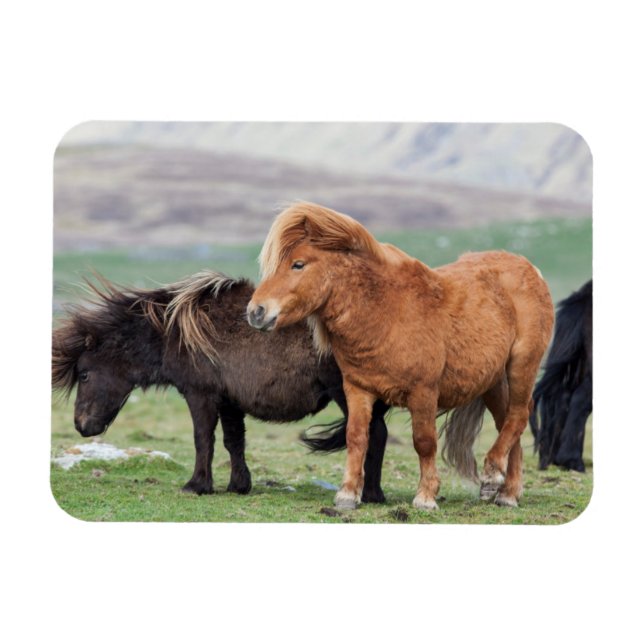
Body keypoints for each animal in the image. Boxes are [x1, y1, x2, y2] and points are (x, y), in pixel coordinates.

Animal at [52, 271, 390, 502]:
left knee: (373, 434)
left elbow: (203, 439)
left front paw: (196, 485)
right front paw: (238, 485)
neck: (175, 332)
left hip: (347, 394)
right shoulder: (230, 401)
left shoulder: (200, 394)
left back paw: (369, 495)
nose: (81, 425)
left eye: (84, 374)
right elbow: (233, 441)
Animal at [247, 202, 554, 510]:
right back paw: (507, 492)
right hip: (491, 380)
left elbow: (424, 442)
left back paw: (493, 475)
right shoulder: (357, 389)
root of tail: (530, 269)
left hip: (522, 365)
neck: (386, 312)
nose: (255, 311)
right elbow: (356, 437)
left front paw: (426, 496)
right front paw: (347, 494)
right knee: (507, 422)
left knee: (518, 415)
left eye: (298, 264)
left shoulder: (424, 392)